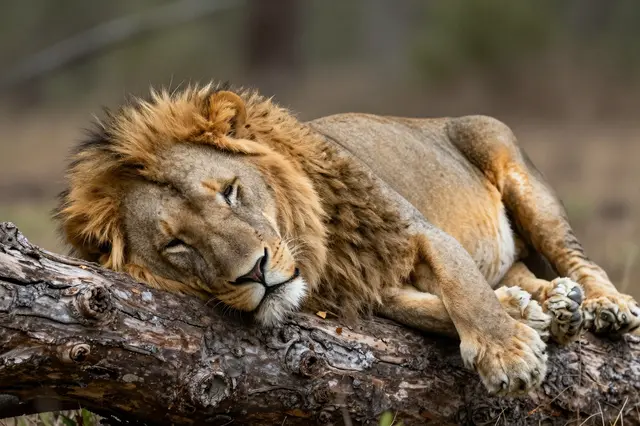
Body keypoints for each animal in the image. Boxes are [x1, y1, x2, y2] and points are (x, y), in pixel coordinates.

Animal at [55, 83, 640, 396]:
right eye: (176, 245)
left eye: (229, 191)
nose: (254, 272)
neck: (319, 254)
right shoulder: (372, 287)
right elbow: (434, 307)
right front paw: (526, 314)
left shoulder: (416, 230)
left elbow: (463, 287)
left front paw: (508, 354)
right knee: (519, 269)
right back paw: (555, 301)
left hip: (510, 161)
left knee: (576, 257)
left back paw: (605, 306)